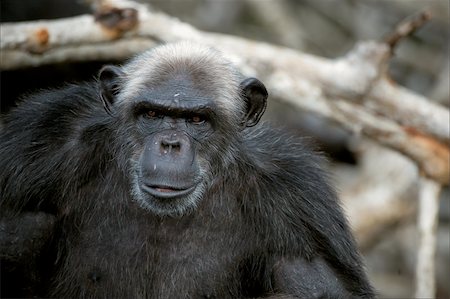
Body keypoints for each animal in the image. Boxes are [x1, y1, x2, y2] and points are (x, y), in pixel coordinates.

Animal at [0, 41, 374, 298]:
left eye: (197, 119)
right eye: (152, 114)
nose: (170, 144)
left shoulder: (297, 199)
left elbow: (321, 284)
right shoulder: (40, 139)